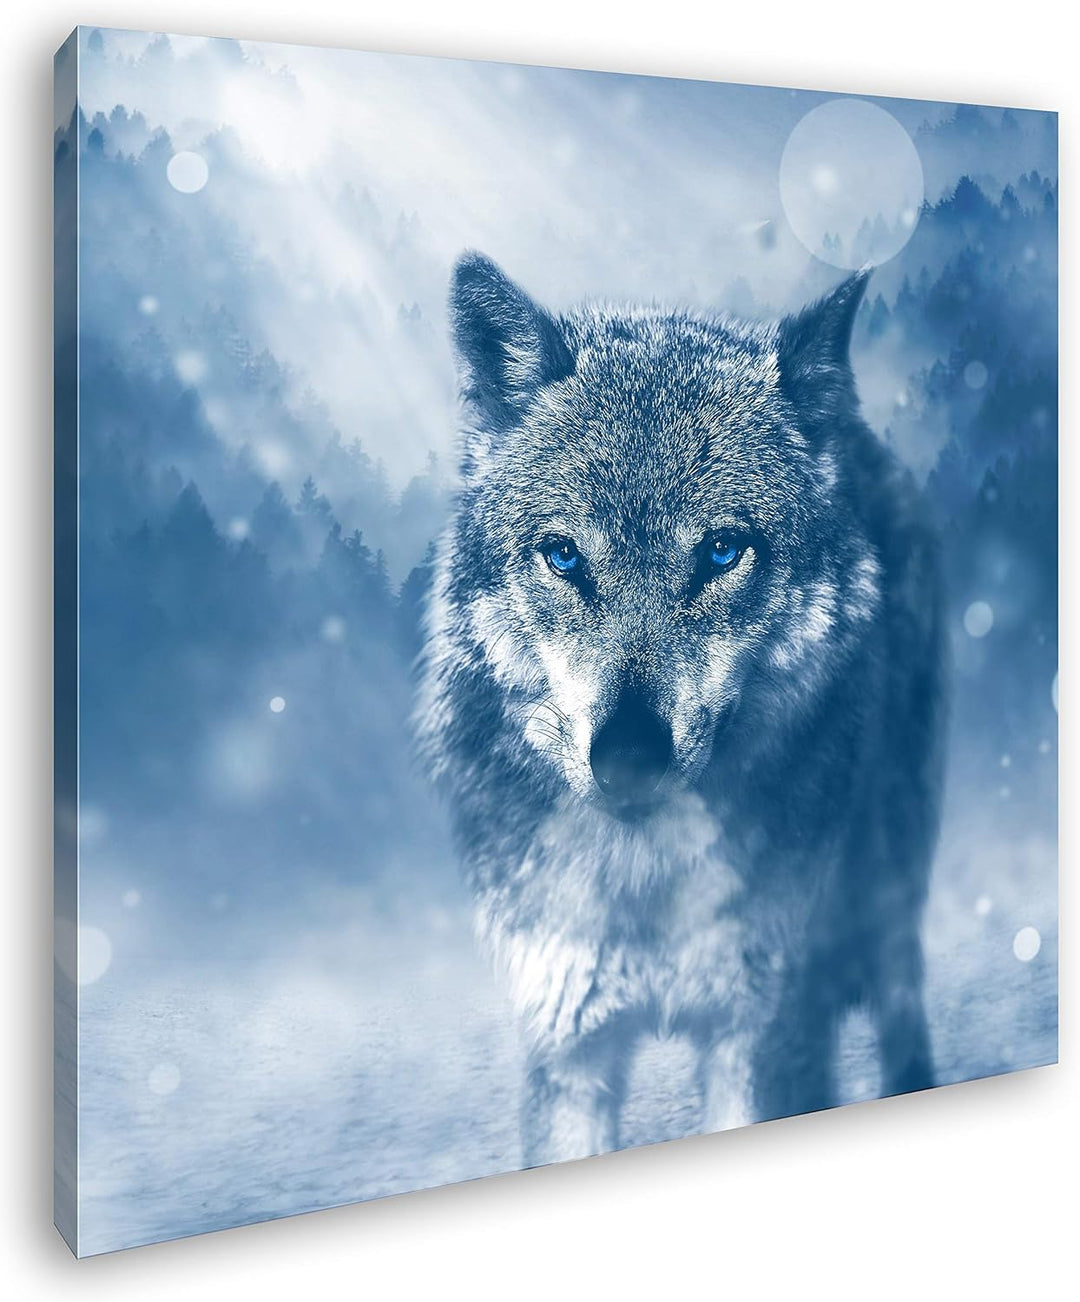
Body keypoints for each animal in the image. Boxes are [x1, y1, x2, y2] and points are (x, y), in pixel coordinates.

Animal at [417, 252, 946, 1168]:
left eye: (723, 552)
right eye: (564, 556)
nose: (629, 757)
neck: (644, 880)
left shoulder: (760, 1033)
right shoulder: (568, 1044)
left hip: (888, 887)